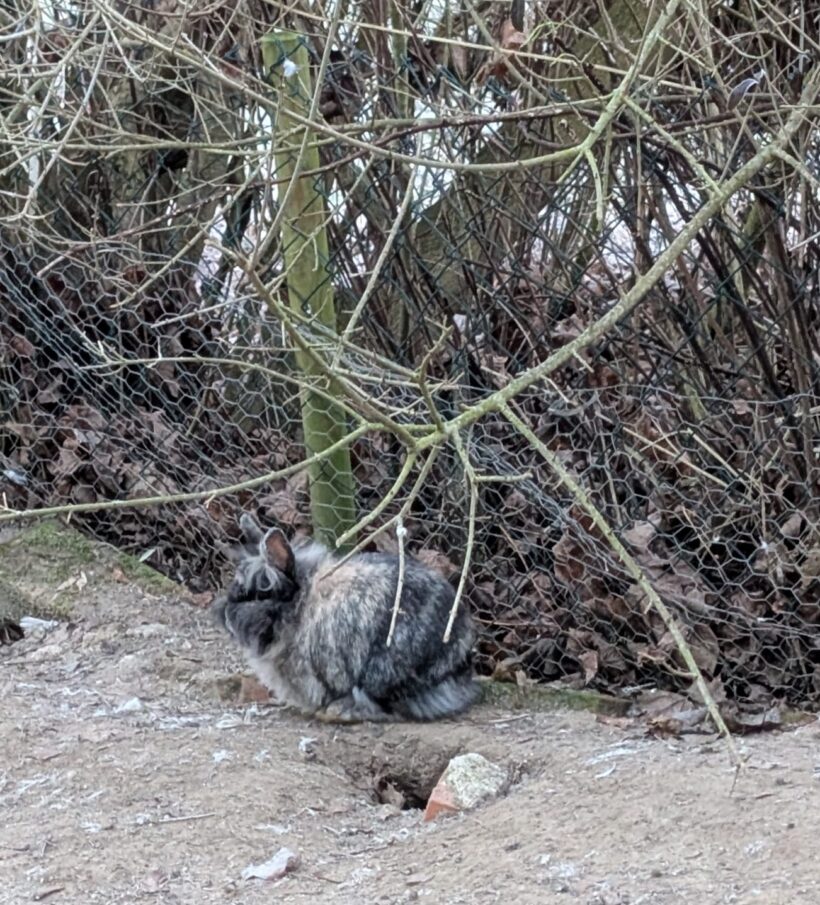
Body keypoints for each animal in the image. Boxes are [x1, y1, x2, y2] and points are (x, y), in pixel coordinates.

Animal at [213, 512, 480, 724]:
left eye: (259, 594)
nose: (223, 616)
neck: (300, 605)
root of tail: (460, 665)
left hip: (380, 672)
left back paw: (336, 712)